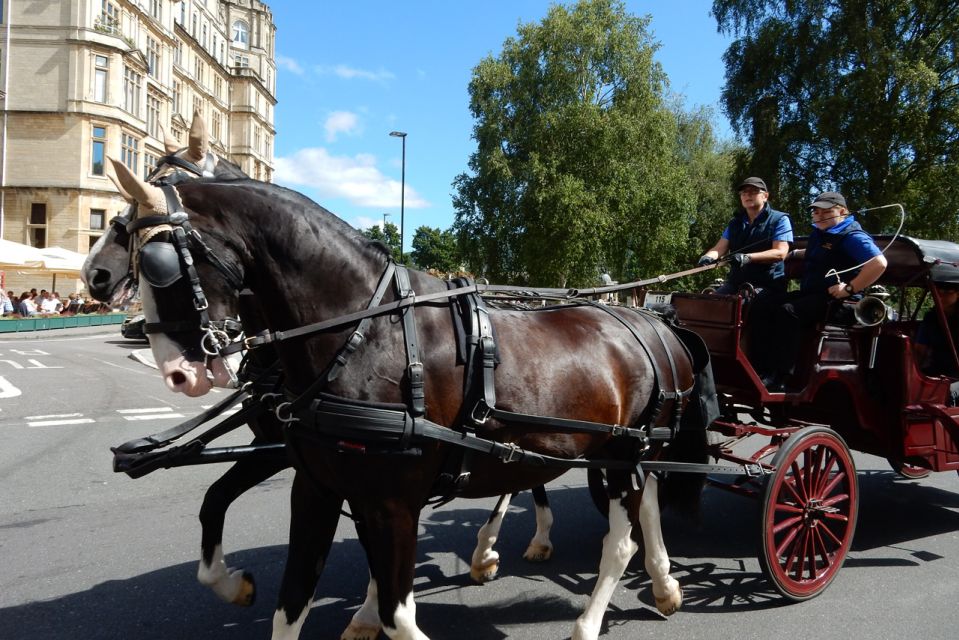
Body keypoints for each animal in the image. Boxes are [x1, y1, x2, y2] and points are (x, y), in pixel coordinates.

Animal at [109, 156, 708, 640]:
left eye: (157, 263)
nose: (178, 373)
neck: (363, 334)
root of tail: (653, 321)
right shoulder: (317, 488)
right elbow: (290, 603)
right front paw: (245, 588)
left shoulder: (391, 501)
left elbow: (399, 615)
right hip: (606, 452)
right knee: (644, 503)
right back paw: (662, 583)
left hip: (622, 453)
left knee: (622, 538)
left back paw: (585, 618)